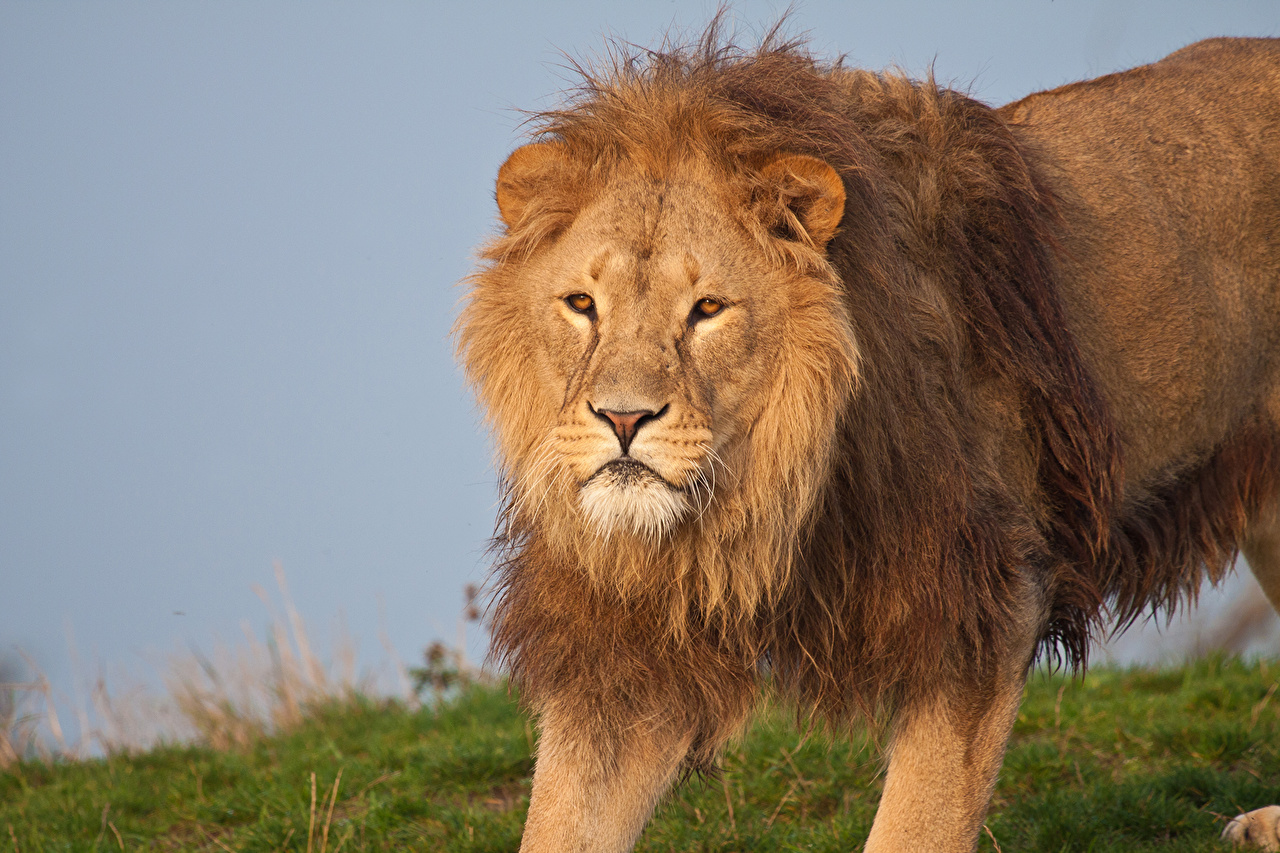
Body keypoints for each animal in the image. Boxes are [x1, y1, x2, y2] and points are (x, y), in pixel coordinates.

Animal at [455, 28, 1280, 850]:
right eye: (581, 304)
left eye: (709, 308)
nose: (623, 420)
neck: (764, 499)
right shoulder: (626, 650)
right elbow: (561, 819)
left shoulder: (985, 603)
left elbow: (917, 823)